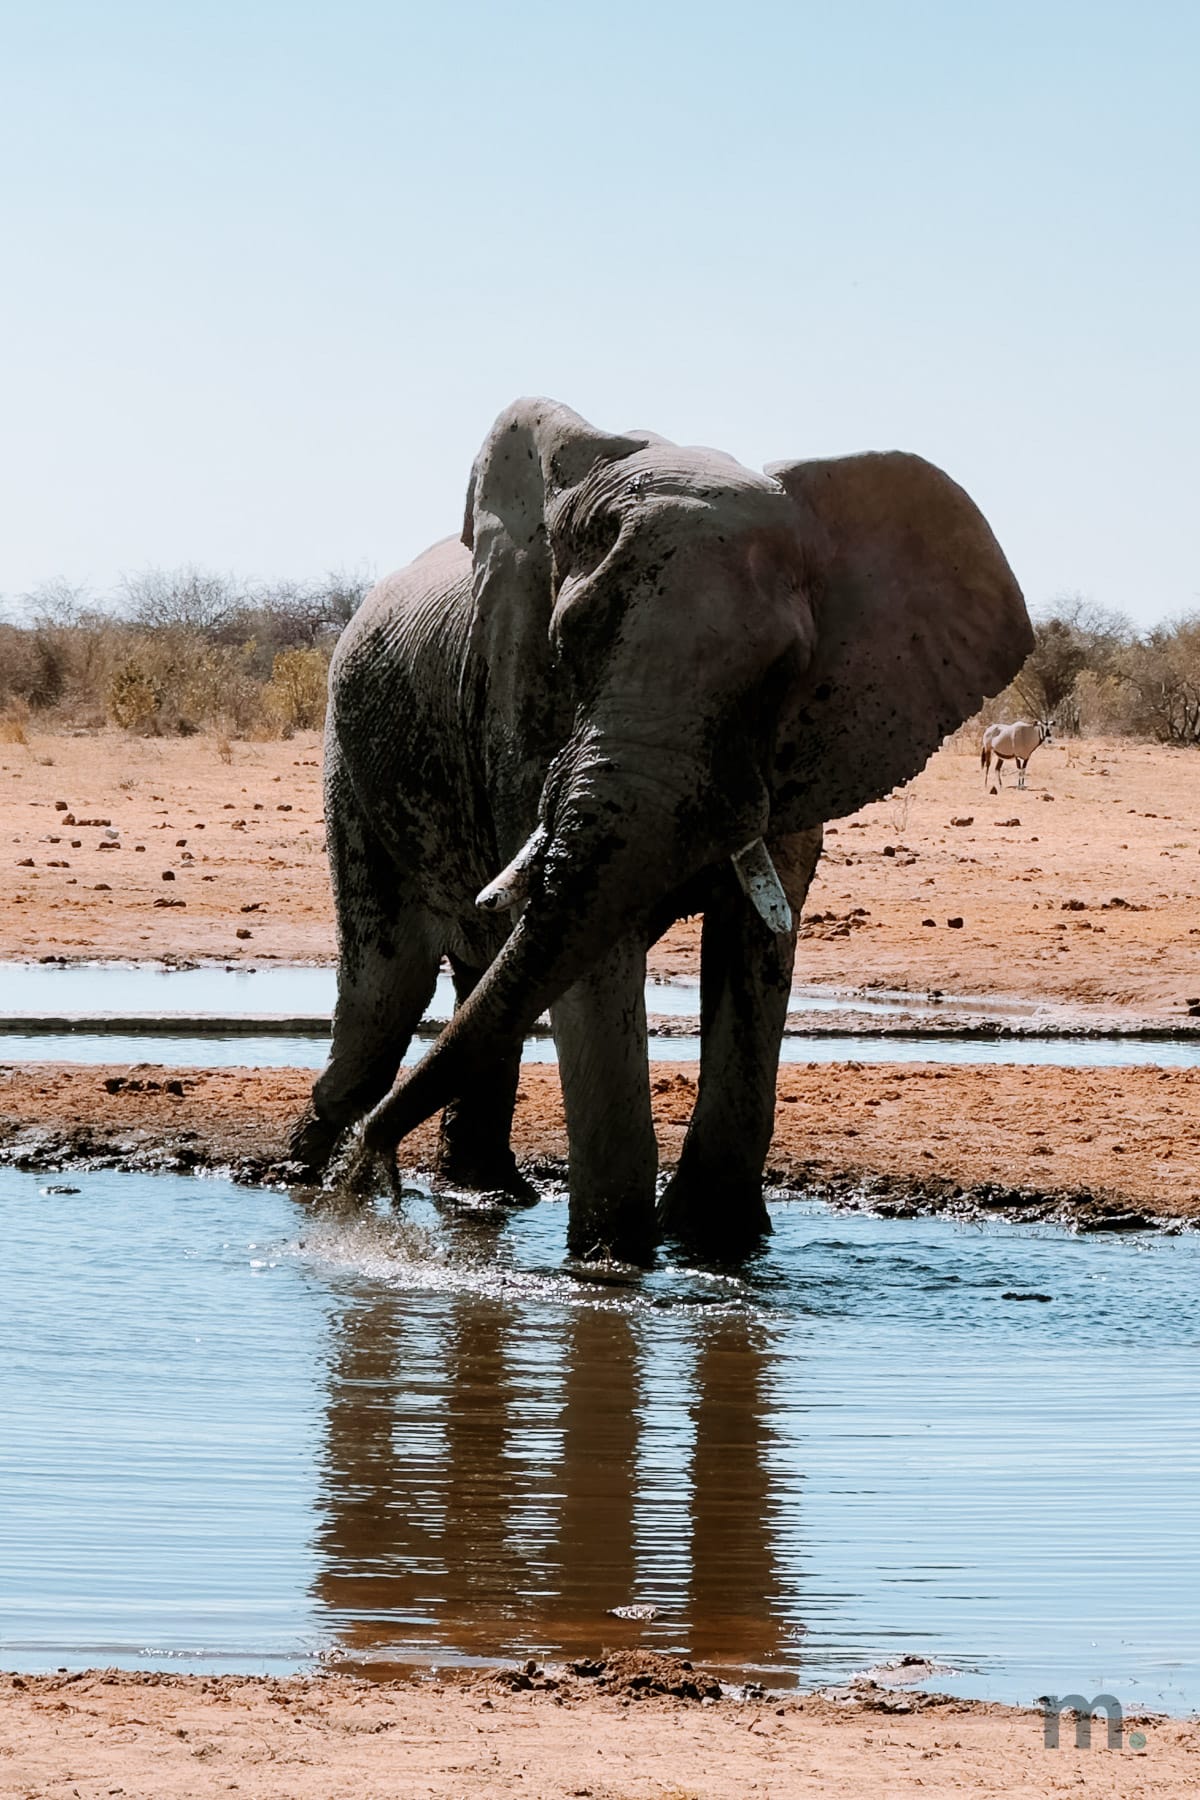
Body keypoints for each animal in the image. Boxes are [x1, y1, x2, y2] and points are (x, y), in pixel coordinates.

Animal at [291, 398, 1031, 1263]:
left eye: (784, 671)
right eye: (568, 642)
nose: (372, 1165)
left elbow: (755, 944)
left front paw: (719, 1253)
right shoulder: (516, 694)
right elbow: (594, 959)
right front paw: (612, 1268)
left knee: (478, 991)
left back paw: (466, 1191)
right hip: (351, 753)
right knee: (383, 997)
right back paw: (311, 1177)